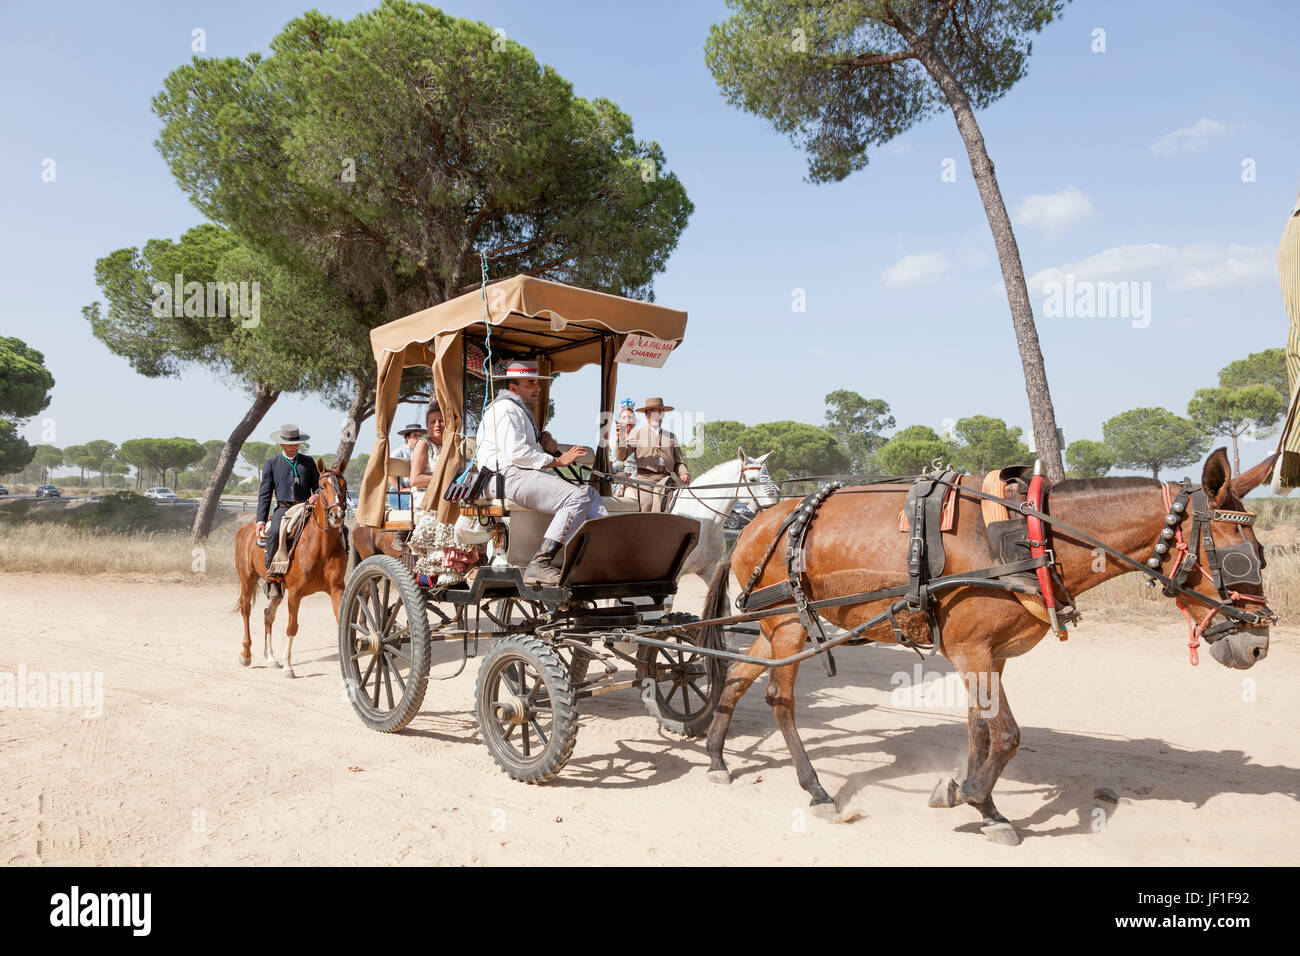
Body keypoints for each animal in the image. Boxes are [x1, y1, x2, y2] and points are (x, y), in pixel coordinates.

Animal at [231, 465, 348, 681]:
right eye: (322, 486)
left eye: (344, 485)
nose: (337, 515)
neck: (321, 547)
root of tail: (246, 527)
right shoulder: (295, 592)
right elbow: (292, 627)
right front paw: (288, 666)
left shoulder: (337, 589)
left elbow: (341, 622)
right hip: (247, 579)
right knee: (246, 610)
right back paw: (246, 654)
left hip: (277, 589)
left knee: (268, 614)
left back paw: (270, 658)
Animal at [707, 450, 1274, 842]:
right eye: (1238, 557)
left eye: (1264, 553)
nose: (1257, 645)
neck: (1029, 538)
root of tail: (753, 522)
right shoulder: (972, 652)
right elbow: (1006, 736)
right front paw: (971, 797)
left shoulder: (989, 656)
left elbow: (979, 731)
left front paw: (980, 803)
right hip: (787, 622)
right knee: (779, 699)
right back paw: (816, 788)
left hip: (775, 626)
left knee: (734, 676)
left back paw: (715, 756)